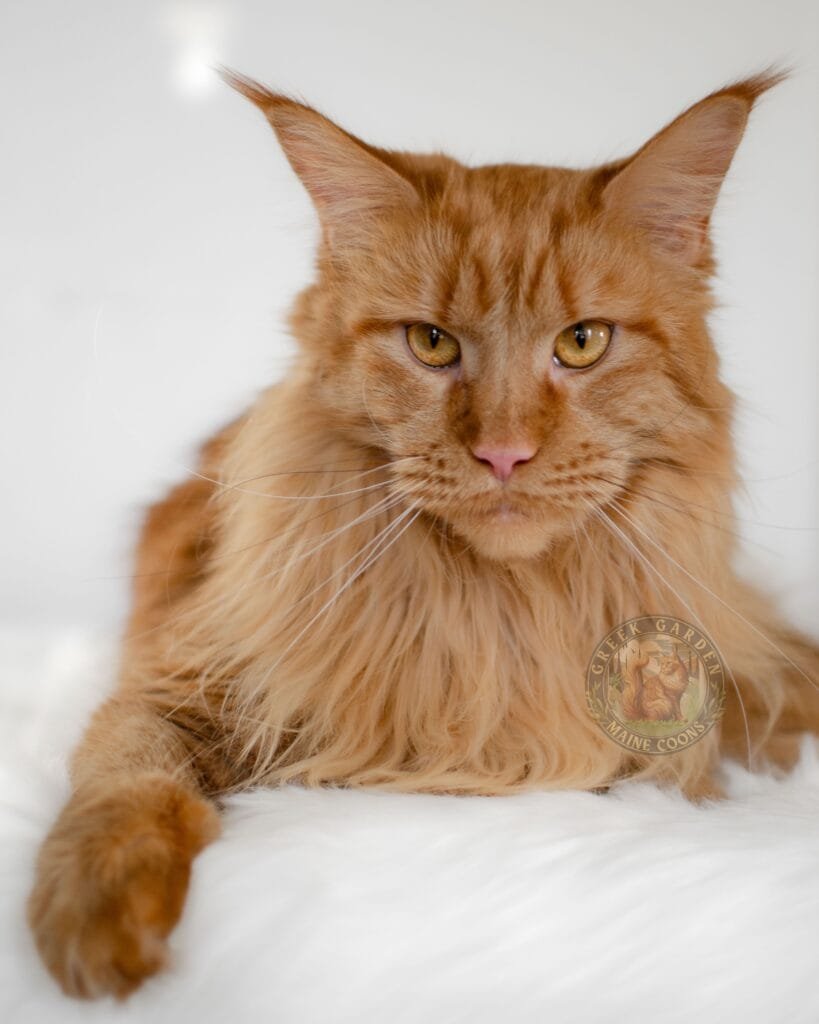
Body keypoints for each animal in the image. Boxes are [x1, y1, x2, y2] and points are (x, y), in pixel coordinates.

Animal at [27, 68, 818, 995]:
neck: (499, 620)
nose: (503, 453)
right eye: (432, 344)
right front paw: (102, 917)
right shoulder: (176, 682)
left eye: (582, 342)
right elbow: (130, 786)